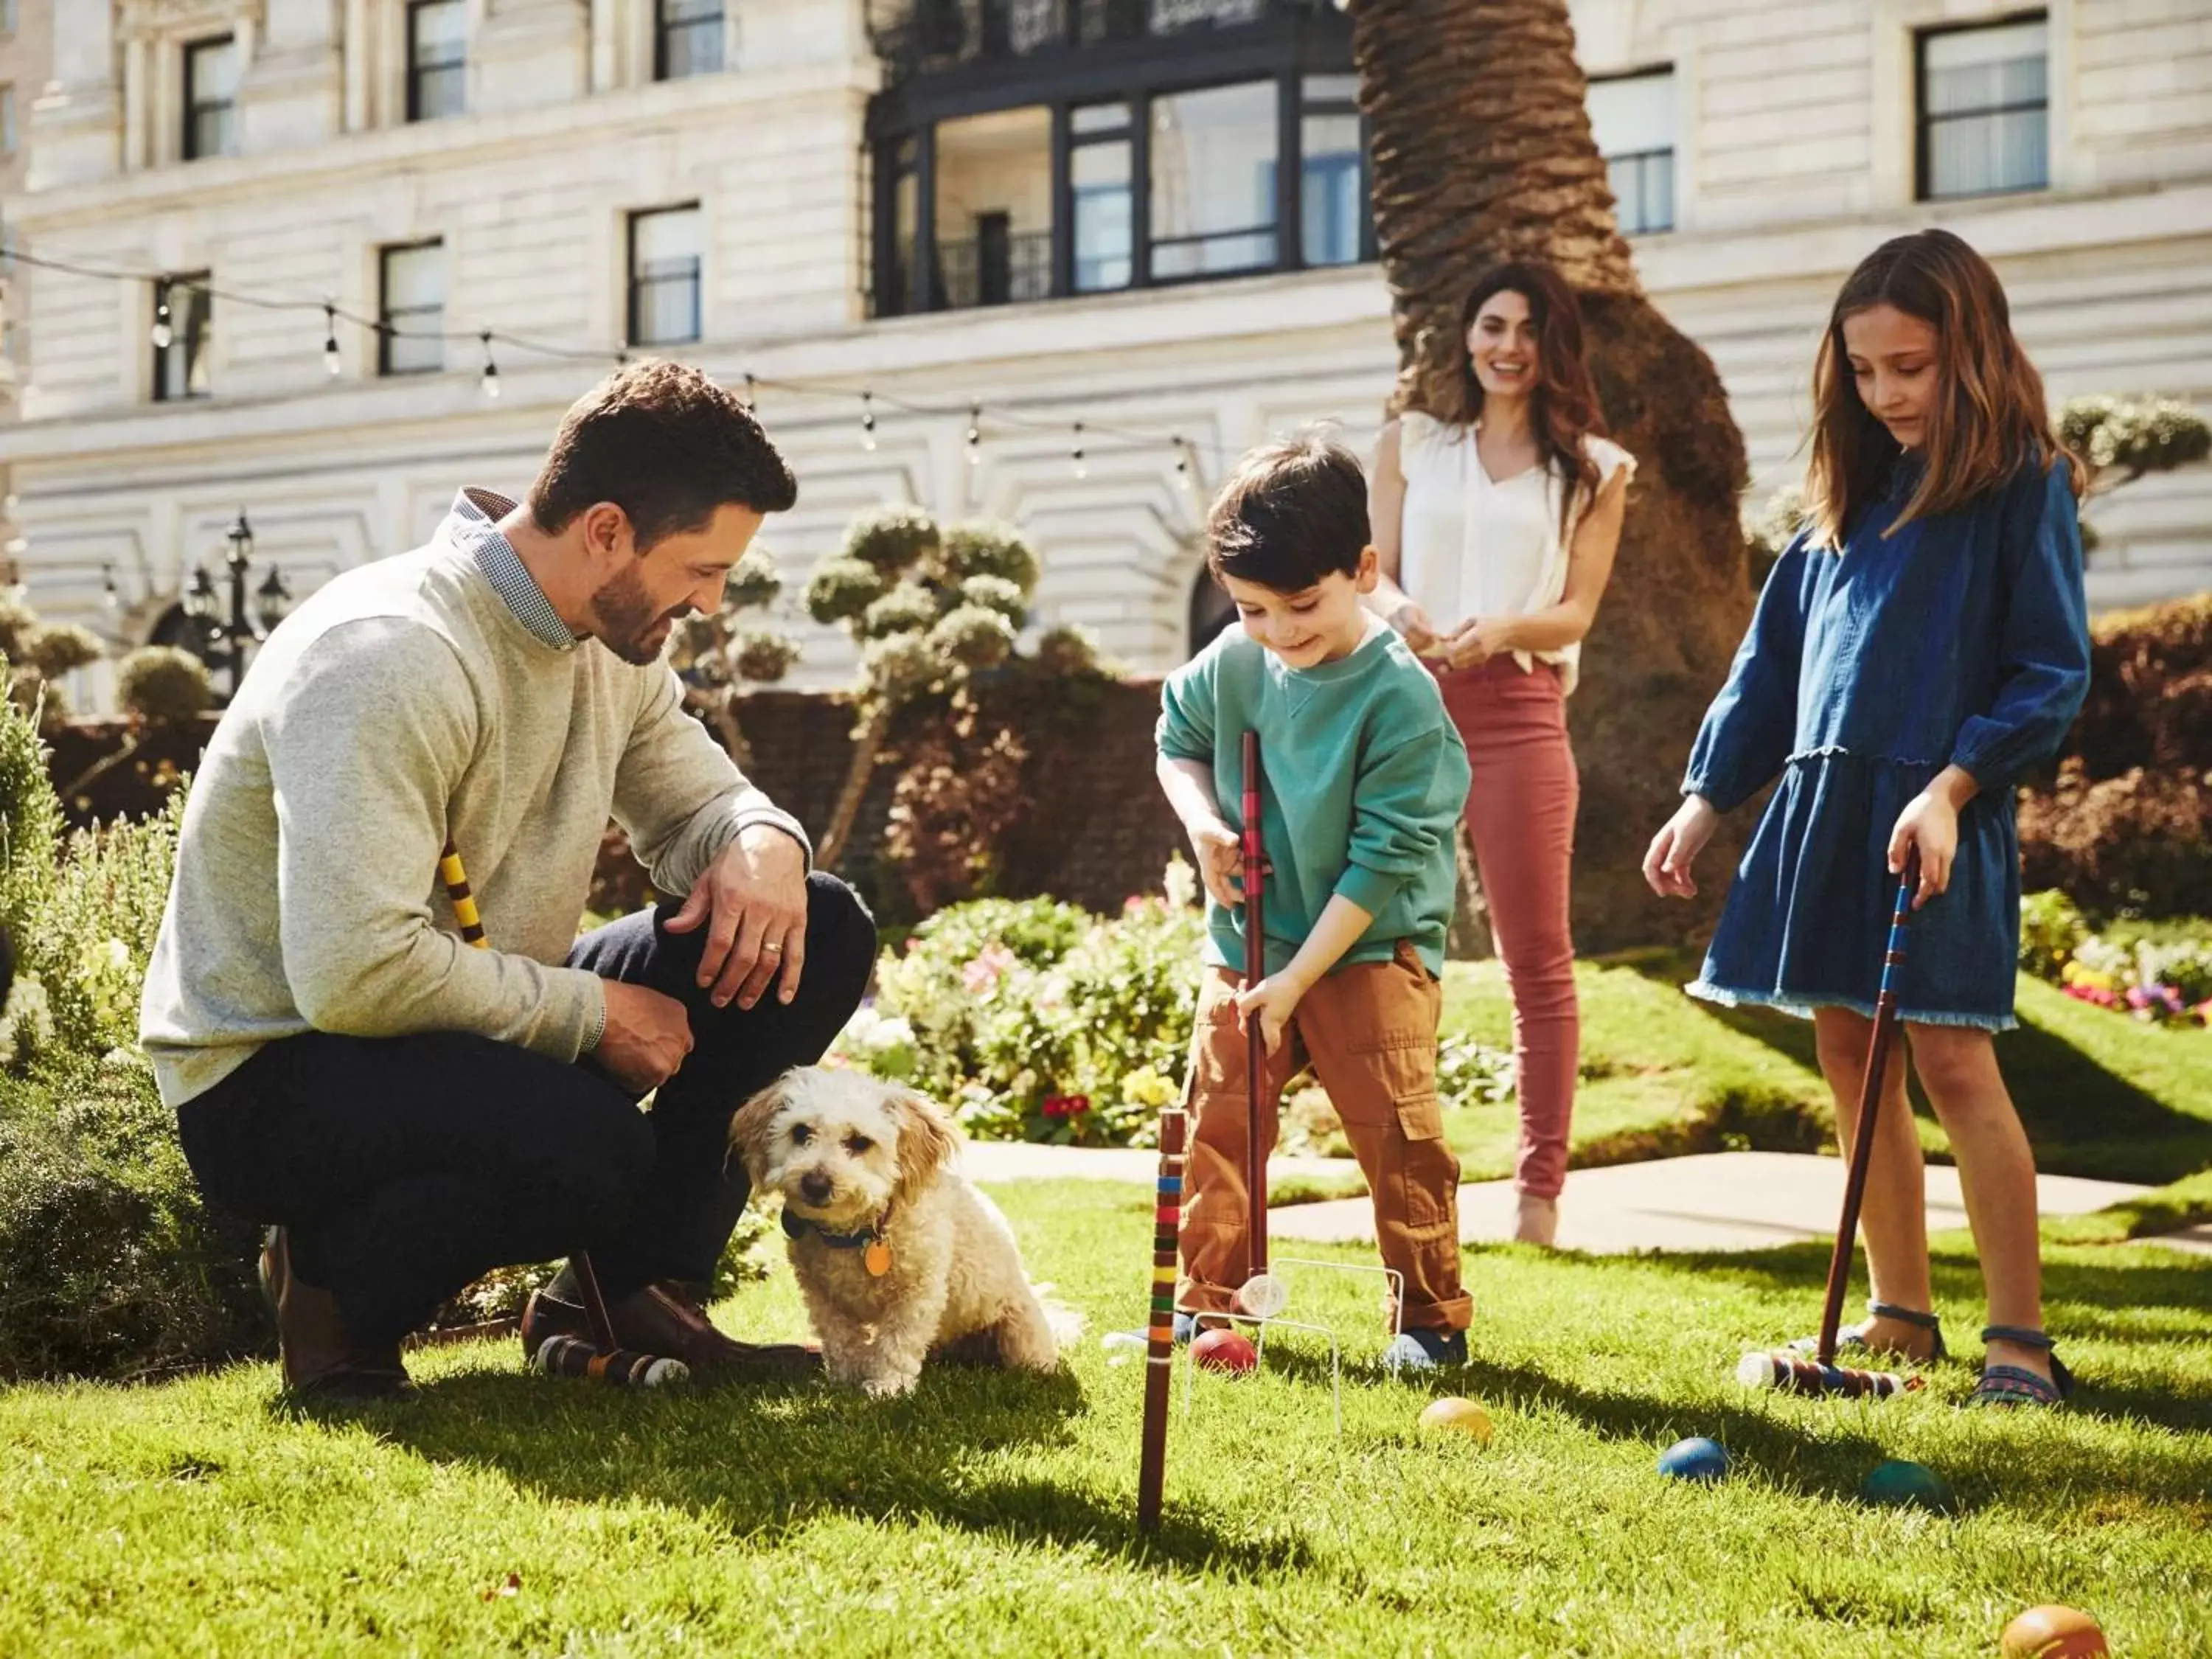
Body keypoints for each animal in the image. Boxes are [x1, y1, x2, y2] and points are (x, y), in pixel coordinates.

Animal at [730, 1066, 1075, 1407]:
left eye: (860, 1142)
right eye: (801, 1132)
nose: (815, 1184)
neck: (858, 1233)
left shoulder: (918, 1293)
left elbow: (898, 1341)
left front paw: (888, 1386)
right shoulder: (821, 1296)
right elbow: (841, 1338)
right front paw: (847, 1380)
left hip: (1020, 1333)